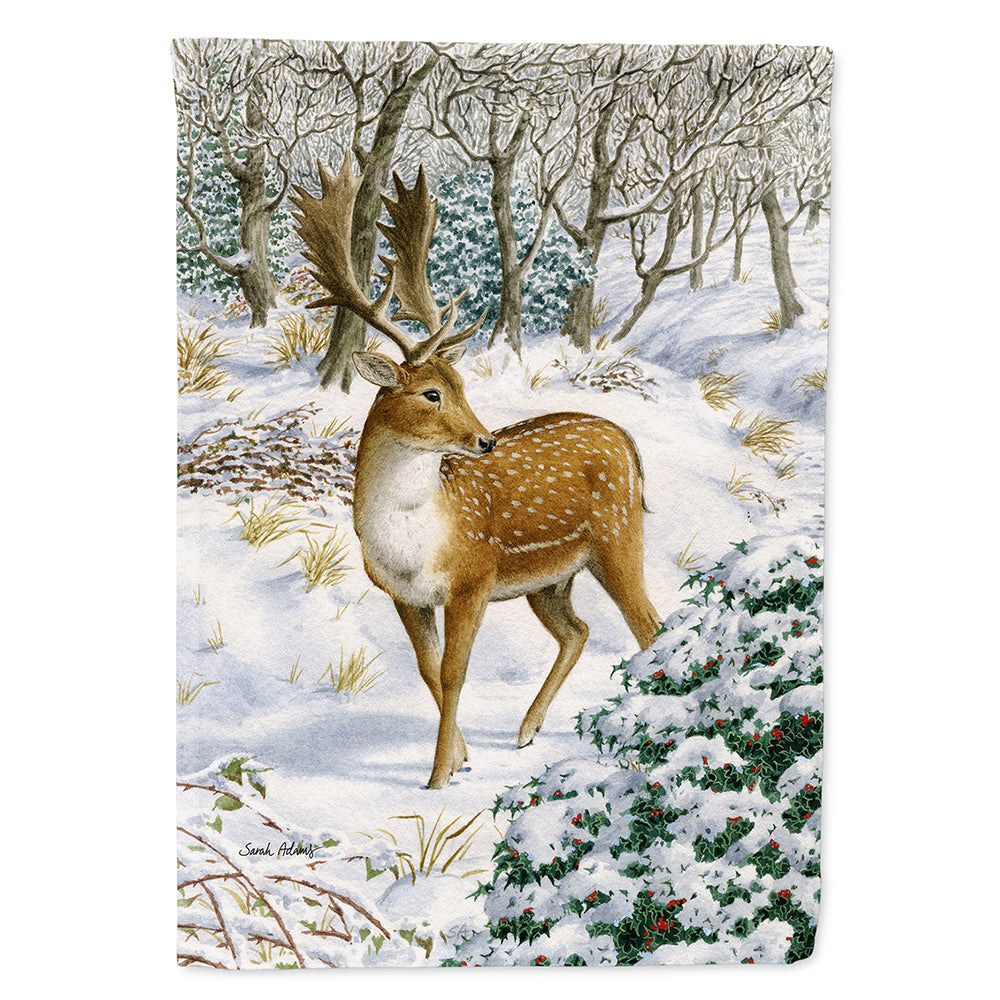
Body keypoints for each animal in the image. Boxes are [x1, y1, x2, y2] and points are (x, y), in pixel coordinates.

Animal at [290, 156, 661, 789]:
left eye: (462, 385)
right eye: (432, 393)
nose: (485, 440)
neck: (414, 540)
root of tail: (626, 440)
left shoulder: (473, 578)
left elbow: (454, 672)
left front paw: (438, 777)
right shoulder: (403, 594)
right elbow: (427, 669)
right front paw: (462, 758)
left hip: (617, 536)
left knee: (648, 627)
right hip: (550, 579)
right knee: (581, 629)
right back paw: (527, 729)